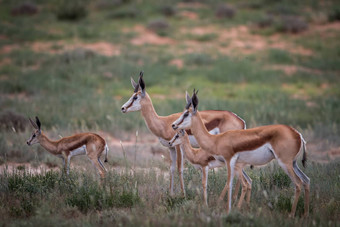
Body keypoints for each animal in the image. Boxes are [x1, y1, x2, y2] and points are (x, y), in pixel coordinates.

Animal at [173, 90, 310, 216]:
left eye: (186, 113)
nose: (173, 125)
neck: (216, 140)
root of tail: (298, 135)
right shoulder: (235, 164)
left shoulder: (229, 160)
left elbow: (229, 184)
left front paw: (228, 211)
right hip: (293, 163)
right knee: (306, 180)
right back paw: (305, 214)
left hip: (285, 163)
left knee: (298, 183)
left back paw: (292, 215)